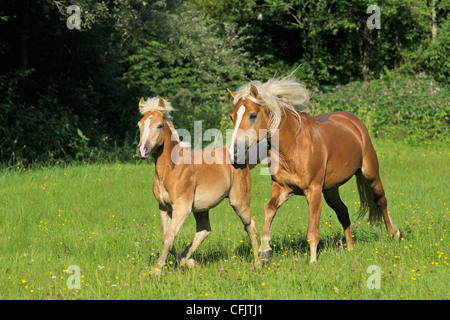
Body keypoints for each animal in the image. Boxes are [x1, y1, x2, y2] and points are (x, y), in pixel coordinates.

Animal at [135, 95, 258, 272]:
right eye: (139, 124)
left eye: (159, 125)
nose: (142, 150)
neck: (173, 169)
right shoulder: (164, 208)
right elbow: (167, 239)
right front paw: (187, 262)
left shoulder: (182, 208)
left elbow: (169, 237)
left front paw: (156, 271)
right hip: (201, 208)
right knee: (204, 230)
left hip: (239, 202)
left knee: (251, 225)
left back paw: (259, 262)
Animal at [227, 76, 402, 264]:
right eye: (232, 116)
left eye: (252, 115)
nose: (234, 151)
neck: (294, 145)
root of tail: (353, 121)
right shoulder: (282, 188)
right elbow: (269, 210)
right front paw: (264, 250)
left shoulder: (313, 191)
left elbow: (312, 230)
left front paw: (312, 261)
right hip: (331, 189)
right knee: (343, 212)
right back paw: (350, 248)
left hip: (370, 173)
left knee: (380, 200)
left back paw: (394, 233)